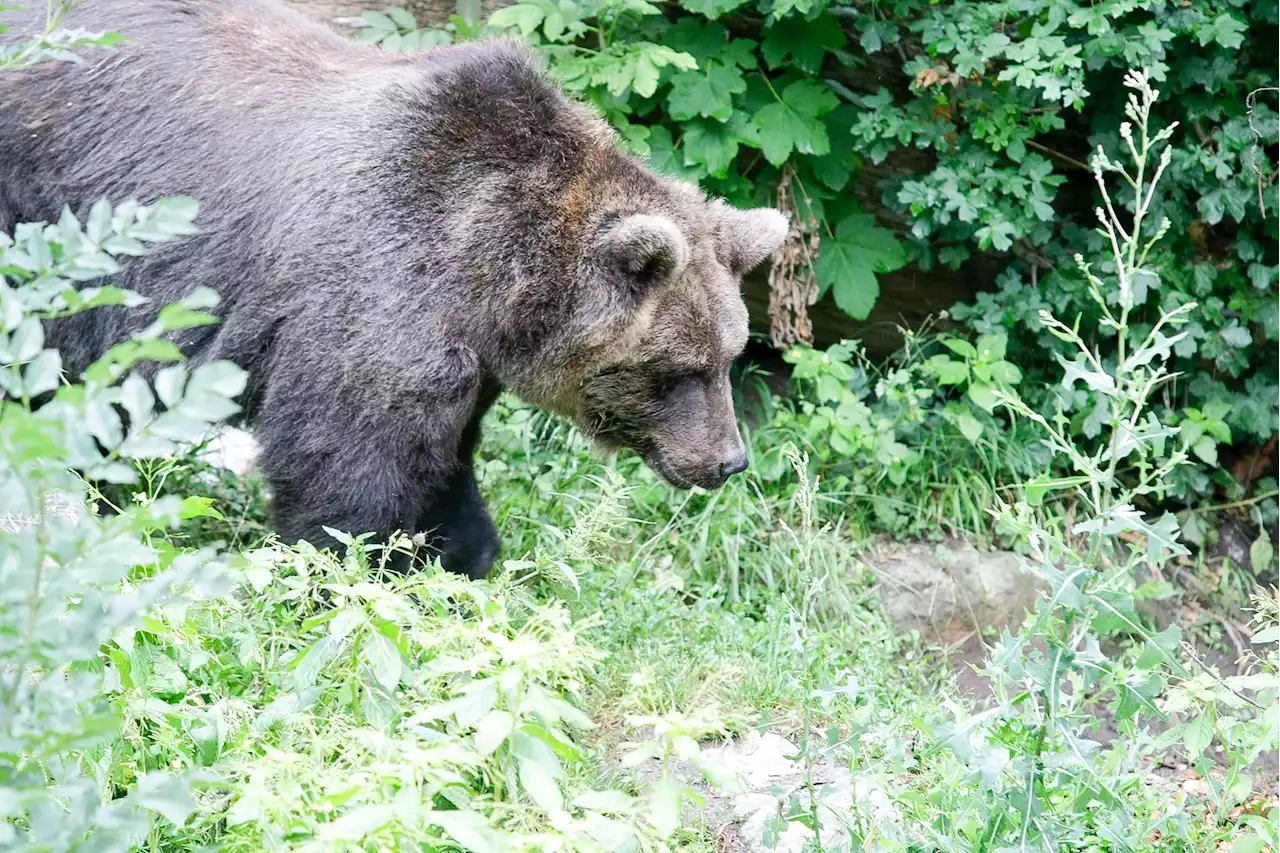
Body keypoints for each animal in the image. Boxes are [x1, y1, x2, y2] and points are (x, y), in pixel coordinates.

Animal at [0, 0, 788, 578]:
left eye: (728, 357)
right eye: (680, 370)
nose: (727, 461)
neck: (492, 274)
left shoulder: (464, 354)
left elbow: (443, 455)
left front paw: (461, 547)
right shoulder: (375, 280)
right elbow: (348, 458)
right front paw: (348, 564)